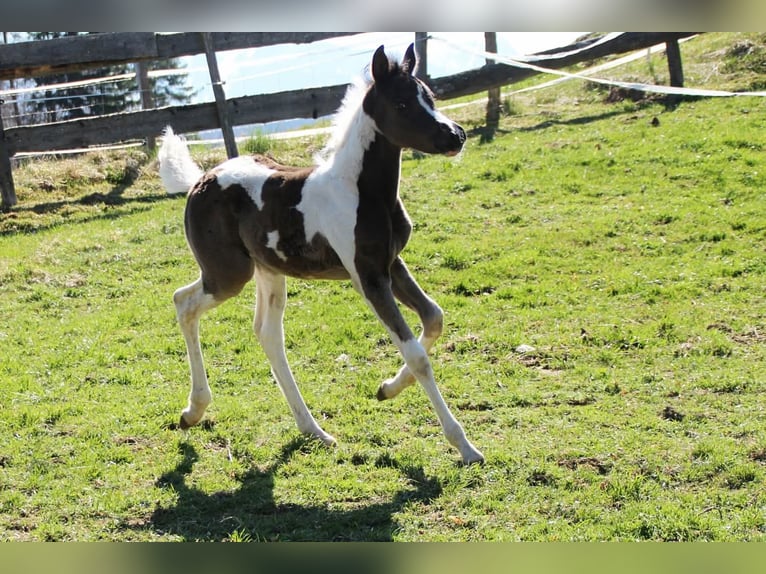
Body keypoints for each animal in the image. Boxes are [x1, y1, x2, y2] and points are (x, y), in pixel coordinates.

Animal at [158, 44, 484, 465]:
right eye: (401, 103)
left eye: (430, 96)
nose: (456, 136)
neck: (361, 191)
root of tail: (200, 180)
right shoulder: (368, 277)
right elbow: (416, 354)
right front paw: (465, 446)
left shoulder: (392, 264)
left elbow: (434, 318)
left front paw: (386, 388)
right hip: (228, 274)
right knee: (184, 302)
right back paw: (193, 410)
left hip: (269, 271)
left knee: (267, 333)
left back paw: (312, 429)